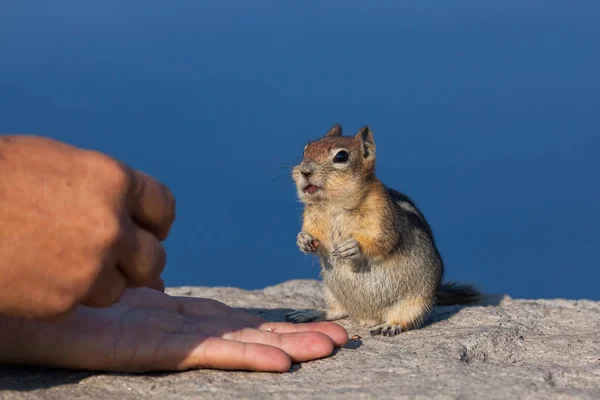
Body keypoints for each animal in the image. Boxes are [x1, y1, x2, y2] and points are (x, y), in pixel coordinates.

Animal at [284, 123, 478, 336]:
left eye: (341, 156)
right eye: (305, 149)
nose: (304, 171)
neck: (333, 205)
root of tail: (367, 317)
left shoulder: (381, 218)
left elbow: (384, 241)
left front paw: (353, 247)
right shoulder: (311, 220)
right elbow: (312, 236)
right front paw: (303, 239)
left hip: (415, 302)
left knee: (404, 319)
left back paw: (390, 325)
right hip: (330, 291)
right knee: (337, 312)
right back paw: (310, 313)